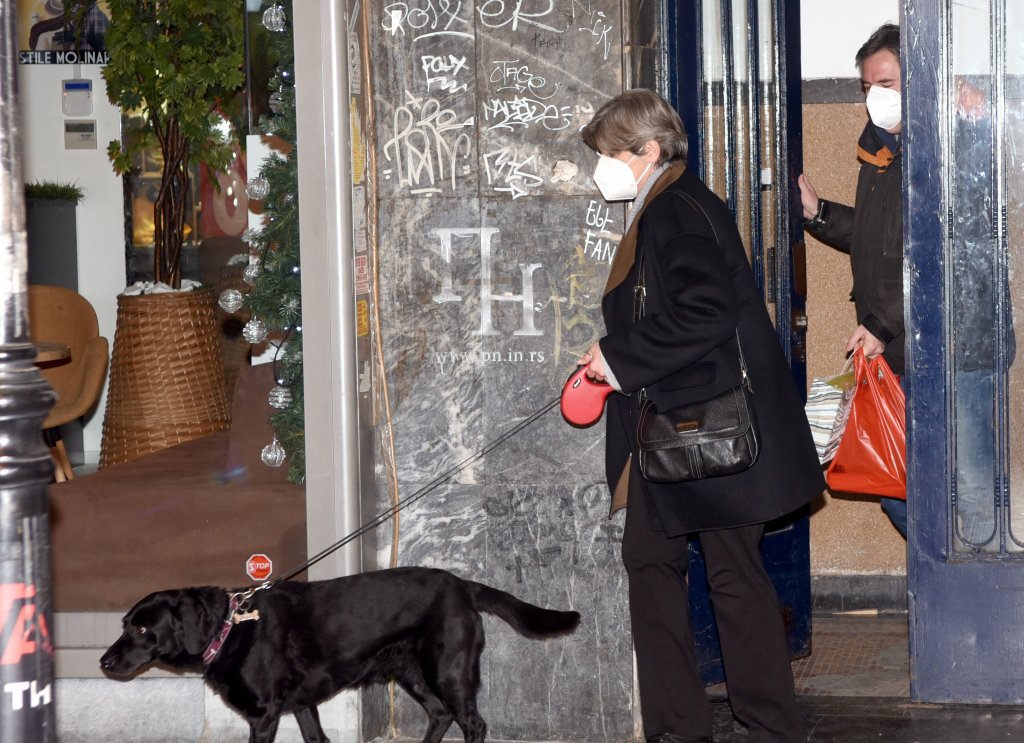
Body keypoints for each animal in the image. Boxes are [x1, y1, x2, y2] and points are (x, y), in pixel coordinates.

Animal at [100, 566, 580, 743]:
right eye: (123, 624)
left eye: (141, 628)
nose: (103, 662)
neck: (230, 627)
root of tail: (462, 585)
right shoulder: (301, 706)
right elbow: (317, 738)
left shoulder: (263, 714)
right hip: (413, 673)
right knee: (441, 715)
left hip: (448, 671)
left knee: (473, 723)